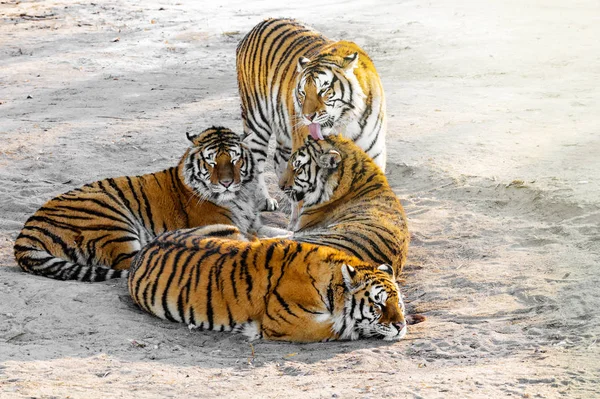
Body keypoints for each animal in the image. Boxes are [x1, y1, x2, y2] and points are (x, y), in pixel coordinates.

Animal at [12, 126, 288, 282]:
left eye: (234, 159)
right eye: (211, 162)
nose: (228, 183)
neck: (243, 196)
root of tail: (27, 231)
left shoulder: (253, 223)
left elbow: (277, 229)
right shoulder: (226, 225)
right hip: (111, 220)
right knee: (134, 260)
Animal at [237, 18, 386, 212]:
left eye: (323, 90)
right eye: (302, 92)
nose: (307, 117)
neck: (346, 124)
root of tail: (257, 26)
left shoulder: (374, 154)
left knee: (279, 159)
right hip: (257, 121)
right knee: (256, 159)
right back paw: (266, 200)